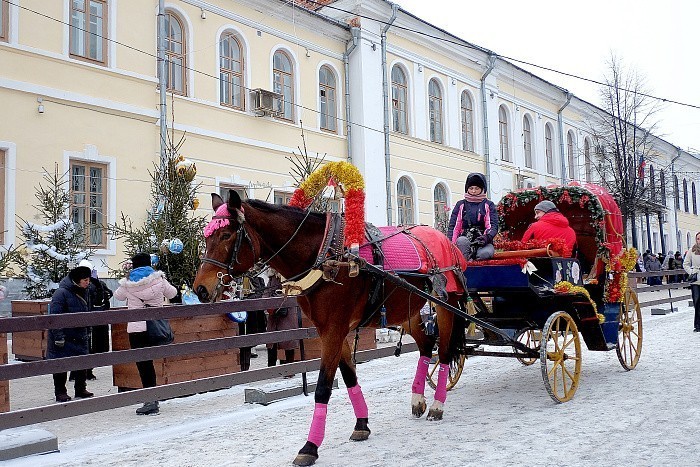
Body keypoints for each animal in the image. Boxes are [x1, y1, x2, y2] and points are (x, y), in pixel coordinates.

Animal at [193, 192, 464, 466]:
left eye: (227, 235)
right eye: (207, 236)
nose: (200, 289)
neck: (326, 256)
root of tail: (445, 241)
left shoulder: (334, 329)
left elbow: (323, 387)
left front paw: (310, 446)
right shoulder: (332, 330)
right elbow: (349, 376)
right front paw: (361, 424)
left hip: (446, 305)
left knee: (443, 353)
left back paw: (437, 405)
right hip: (407, 309)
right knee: (426, 346)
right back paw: (418, 399)